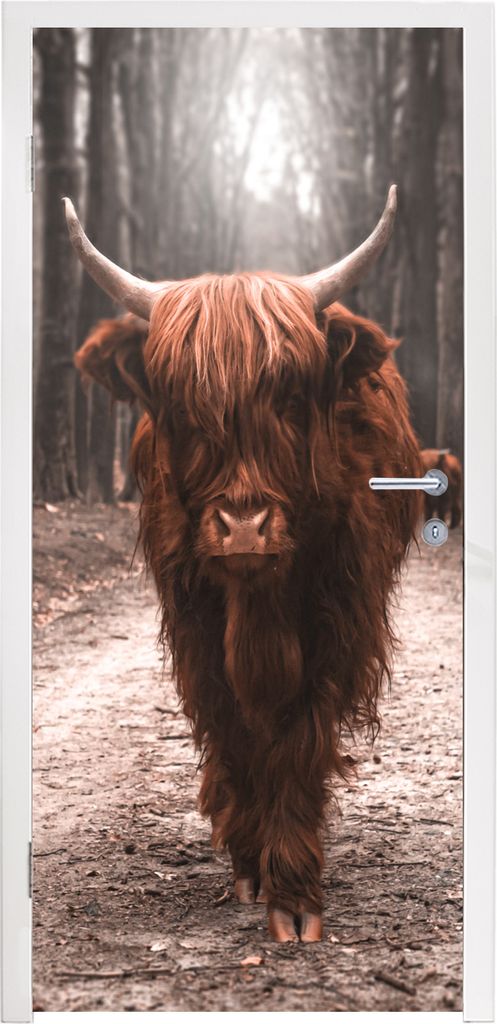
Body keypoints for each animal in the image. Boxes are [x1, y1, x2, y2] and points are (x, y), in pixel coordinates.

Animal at [64, 187, 422, 943]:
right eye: (181, 405)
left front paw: (293, 894)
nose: (244, 529)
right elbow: (231, 728)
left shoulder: (337, 622)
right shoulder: (194, 624)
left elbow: (297, 737)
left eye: (289, 397)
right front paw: (252, 864)